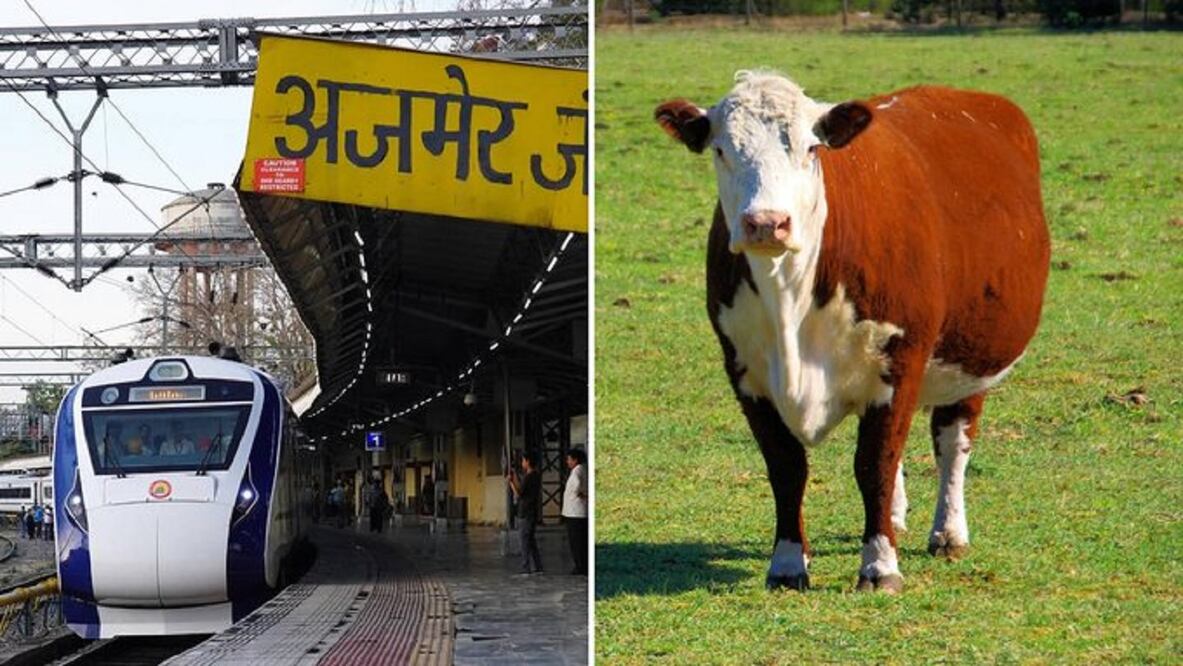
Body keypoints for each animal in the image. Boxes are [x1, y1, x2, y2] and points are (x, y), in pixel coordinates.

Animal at [655, 71, 1049, 593]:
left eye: (811, 148)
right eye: (721, 149)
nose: (766, 223)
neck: (791, 294)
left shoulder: (900, 360)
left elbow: (874, 464)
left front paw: (880, 565)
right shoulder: (744, 372)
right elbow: (786, 466)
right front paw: (787, 564)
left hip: (972, 353)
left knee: (952, 440)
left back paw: (948, 532)